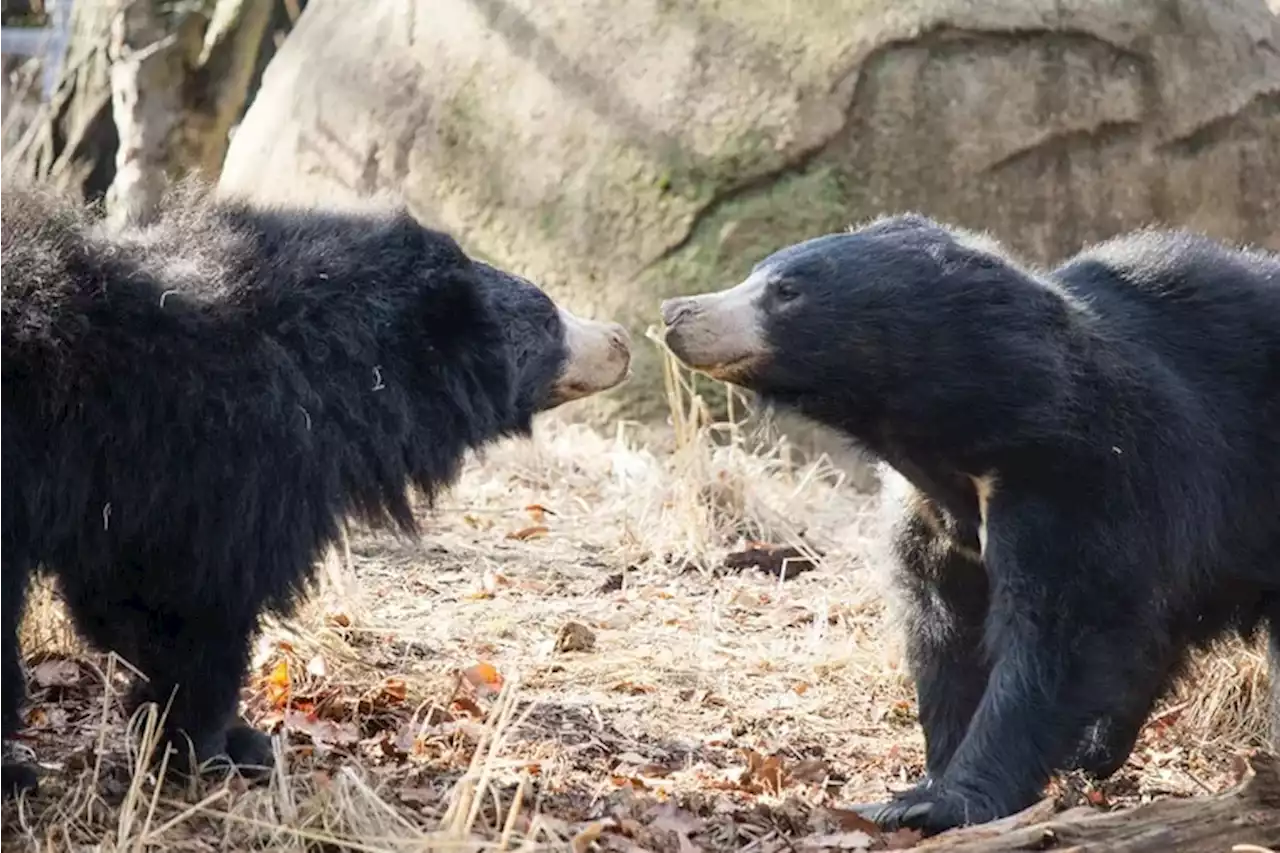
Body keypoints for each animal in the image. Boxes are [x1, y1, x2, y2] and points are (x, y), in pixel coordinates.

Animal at [0, 183, 632, 794]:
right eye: (548, 321)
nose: (622, 341)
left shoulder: (142, 485)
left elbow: (124, 594)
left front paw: (211, 737)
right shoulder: (223, 458)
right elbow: (189, 602)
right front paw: (217, 749)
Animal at [660, 212, 1280, 829]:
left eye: (786, 291)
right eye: (754, 273)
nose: (675, 312)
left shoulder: (1082, 474)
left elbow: (1062, 629)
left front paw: (933, 803)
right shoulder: (931, 515)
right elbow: (944, 627)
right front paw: (927, 780)